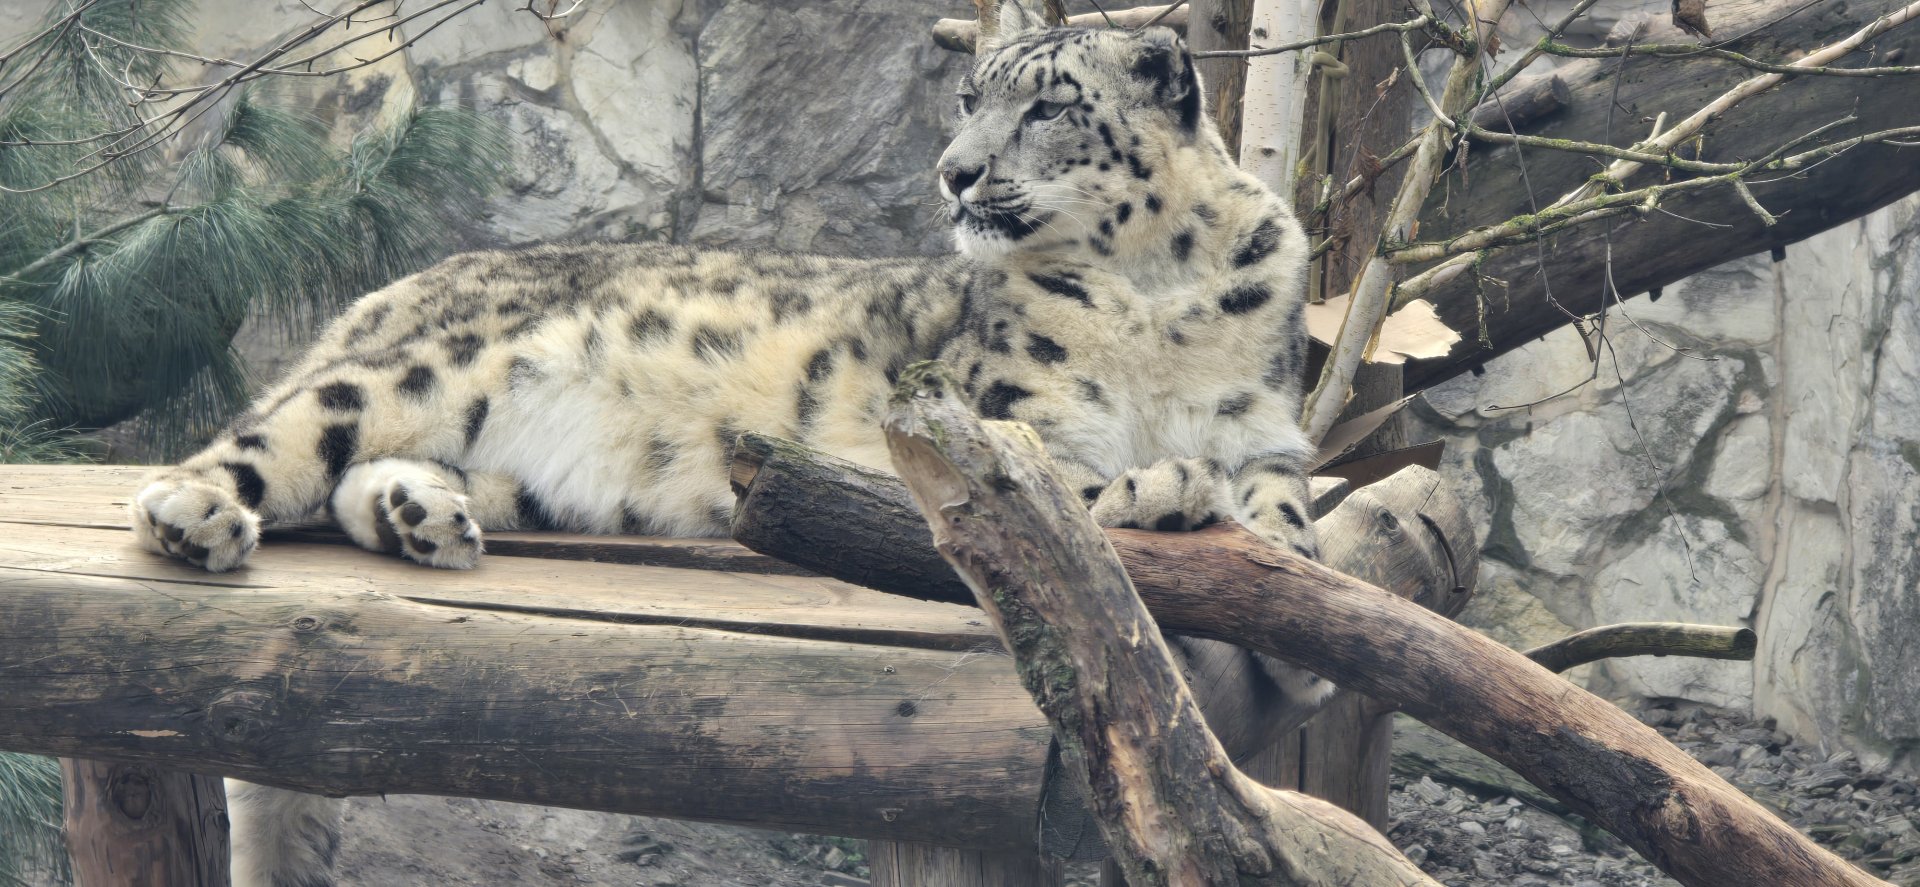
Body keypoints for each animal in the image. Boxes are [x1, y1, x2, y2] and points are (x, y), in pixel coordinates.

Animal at [128, 3, 1325, 883]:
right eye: (970, 99)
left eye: (1048, 107)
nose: (955, 171)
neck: (1159, 294)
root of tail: (391, 289)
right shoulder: (996, 410)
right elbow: (1066, 482)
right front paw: (1160, 485)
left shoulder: (1267, 429)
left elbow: (1290, 515)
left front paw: (1295, 619)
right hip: (412, 372)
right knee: (265, 438)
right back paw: (196, 517)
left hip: (517, 471)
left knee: (357, 485)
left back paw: (419, 515)